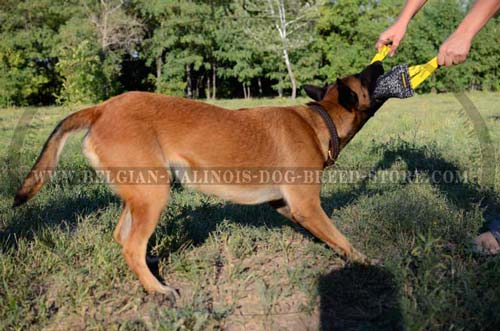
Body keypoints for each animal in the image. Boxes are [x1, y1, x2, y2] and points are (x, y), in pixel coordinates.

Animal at [13, 61, 384, 296]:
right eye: (364, 77)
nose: (381, 65)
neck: (321, 119)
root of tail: (101, 108)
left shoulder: (285, 204)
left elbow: (330, 236)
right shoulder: (306, 205)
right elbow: (341, 237)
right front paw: (365, 262)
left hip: (140, 192)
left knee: (122, 236)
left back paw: (151, 266)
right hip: (154, 192)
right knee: (131, 246)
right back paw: (158, 290)